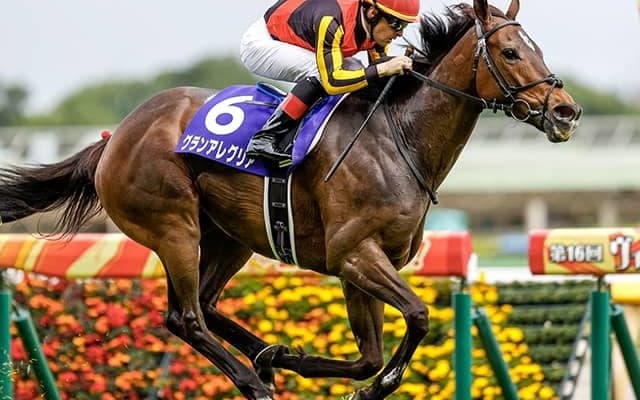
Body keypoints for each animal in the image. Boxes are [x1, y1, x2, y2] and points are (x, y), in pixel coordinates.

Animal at [0, 0, 581, 399]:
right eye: (510, 52)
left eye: (538, 50)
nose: (566, 111)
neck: (398, 138)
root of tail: (115, 136)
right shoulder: (354, 254)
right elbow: (416, 317)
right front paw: (371, 386)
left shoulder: (364, 266)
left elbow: (369, 355)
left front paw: (297, 359)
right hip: (173, 227)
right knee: (184, 317)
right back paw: (253, 381)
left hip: (229, 236)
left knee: (205, 305)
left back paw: (264, 356)